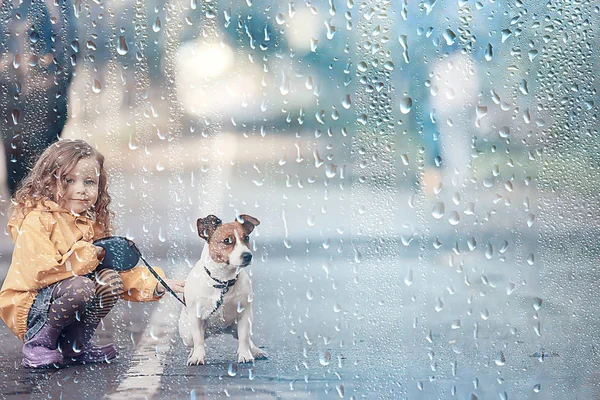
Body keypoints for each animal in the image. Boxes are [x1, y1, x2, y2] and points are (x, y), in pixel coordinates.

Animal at [178, 216, 268, 366]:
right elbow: (198, 340)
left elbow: (244, 338)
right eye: (227, 240)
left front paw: (245, 355)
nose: (248, 255)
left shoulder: (244, 314)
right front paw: (197, 356)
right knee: (194, 342)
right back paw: (193, 353)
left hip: (236, 327)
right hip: (187, 335)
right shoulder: (196, 317)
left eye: (246, 238)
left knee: (247, 339)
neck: (223, 281)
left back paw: (255, 351)